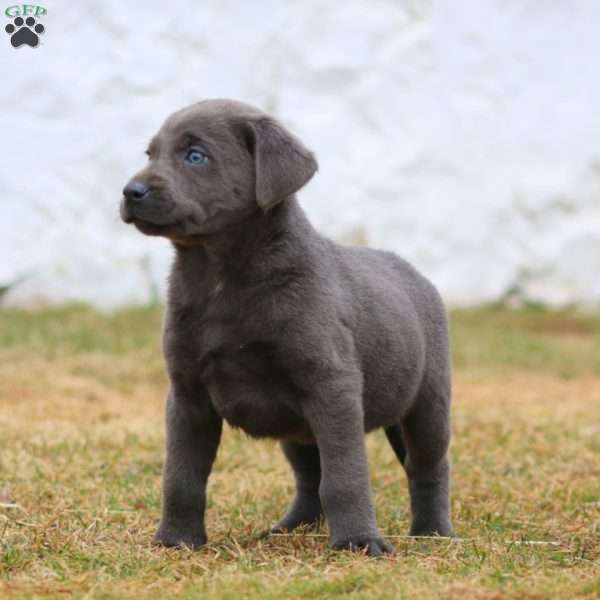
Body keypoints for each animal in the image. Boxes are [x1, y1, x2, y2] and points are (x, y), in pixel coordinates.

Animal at [119, 99, 452, 556]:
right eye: (150, 154)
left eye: (195, 156)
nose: (130, 191)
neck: (222, 278)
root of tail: (416, 274)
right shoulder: (187, 394)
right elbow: (182, 476)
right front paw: (176, 540)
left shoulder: (332, 387)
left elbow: (345, 477)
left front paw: (359, 541)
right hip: (296, 426)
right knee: (309, 473)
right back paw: (294, 526)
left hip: (427, 404)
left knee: (428, 466)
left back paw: (433, 531)